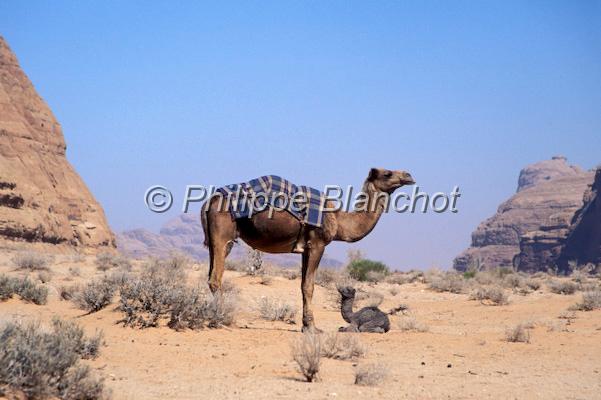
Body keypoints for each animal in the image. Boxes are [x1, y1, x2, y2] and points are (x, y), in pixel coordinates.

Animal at [200, 168, 412, 332]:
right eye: (387, 173)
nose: (409, 175)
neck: (339, 221)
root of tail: (210, 201)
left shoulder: (305, 249)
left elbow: (303, 285)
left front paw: (306, 325)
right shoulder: (318, 244)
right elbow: (309, 286)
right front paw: (311, 327)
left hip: (214, 240)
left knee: (211, 274)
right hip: (223, 235)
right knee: (216, 278)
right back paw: (220, 319)